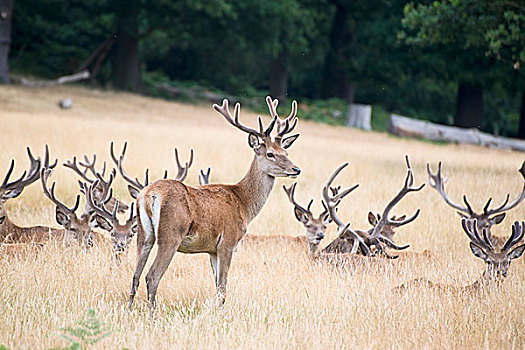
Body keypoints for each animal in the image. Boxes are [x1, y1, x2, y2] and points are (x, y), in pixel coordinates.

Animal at [126, 95, 298, 312]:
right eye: (270, 154)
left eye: (286, 151)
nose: (296, 169)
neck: (244, 204)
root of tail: (148, 195)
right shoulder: (228, 242)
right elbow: (223, 287)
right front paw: (221, 313)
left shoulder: (212, 249)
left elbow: (217, 285)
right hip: (171, 234)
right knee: (152, 275)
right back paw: (152, 314)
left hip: (144, 233)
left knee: (135, 275)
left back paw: (129, 310)